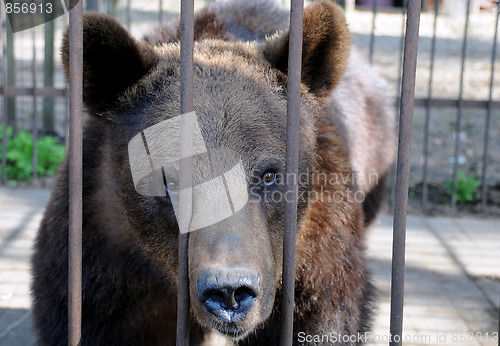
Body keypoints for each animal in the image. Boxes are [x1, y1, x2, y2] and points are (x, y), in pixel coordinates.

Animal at [33, 1, 396, 344]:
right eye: (170, 181)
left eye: (268, 175)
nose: (229, 291)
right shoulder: (102, 249)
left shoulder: (317, 247)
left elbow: (325, 317)